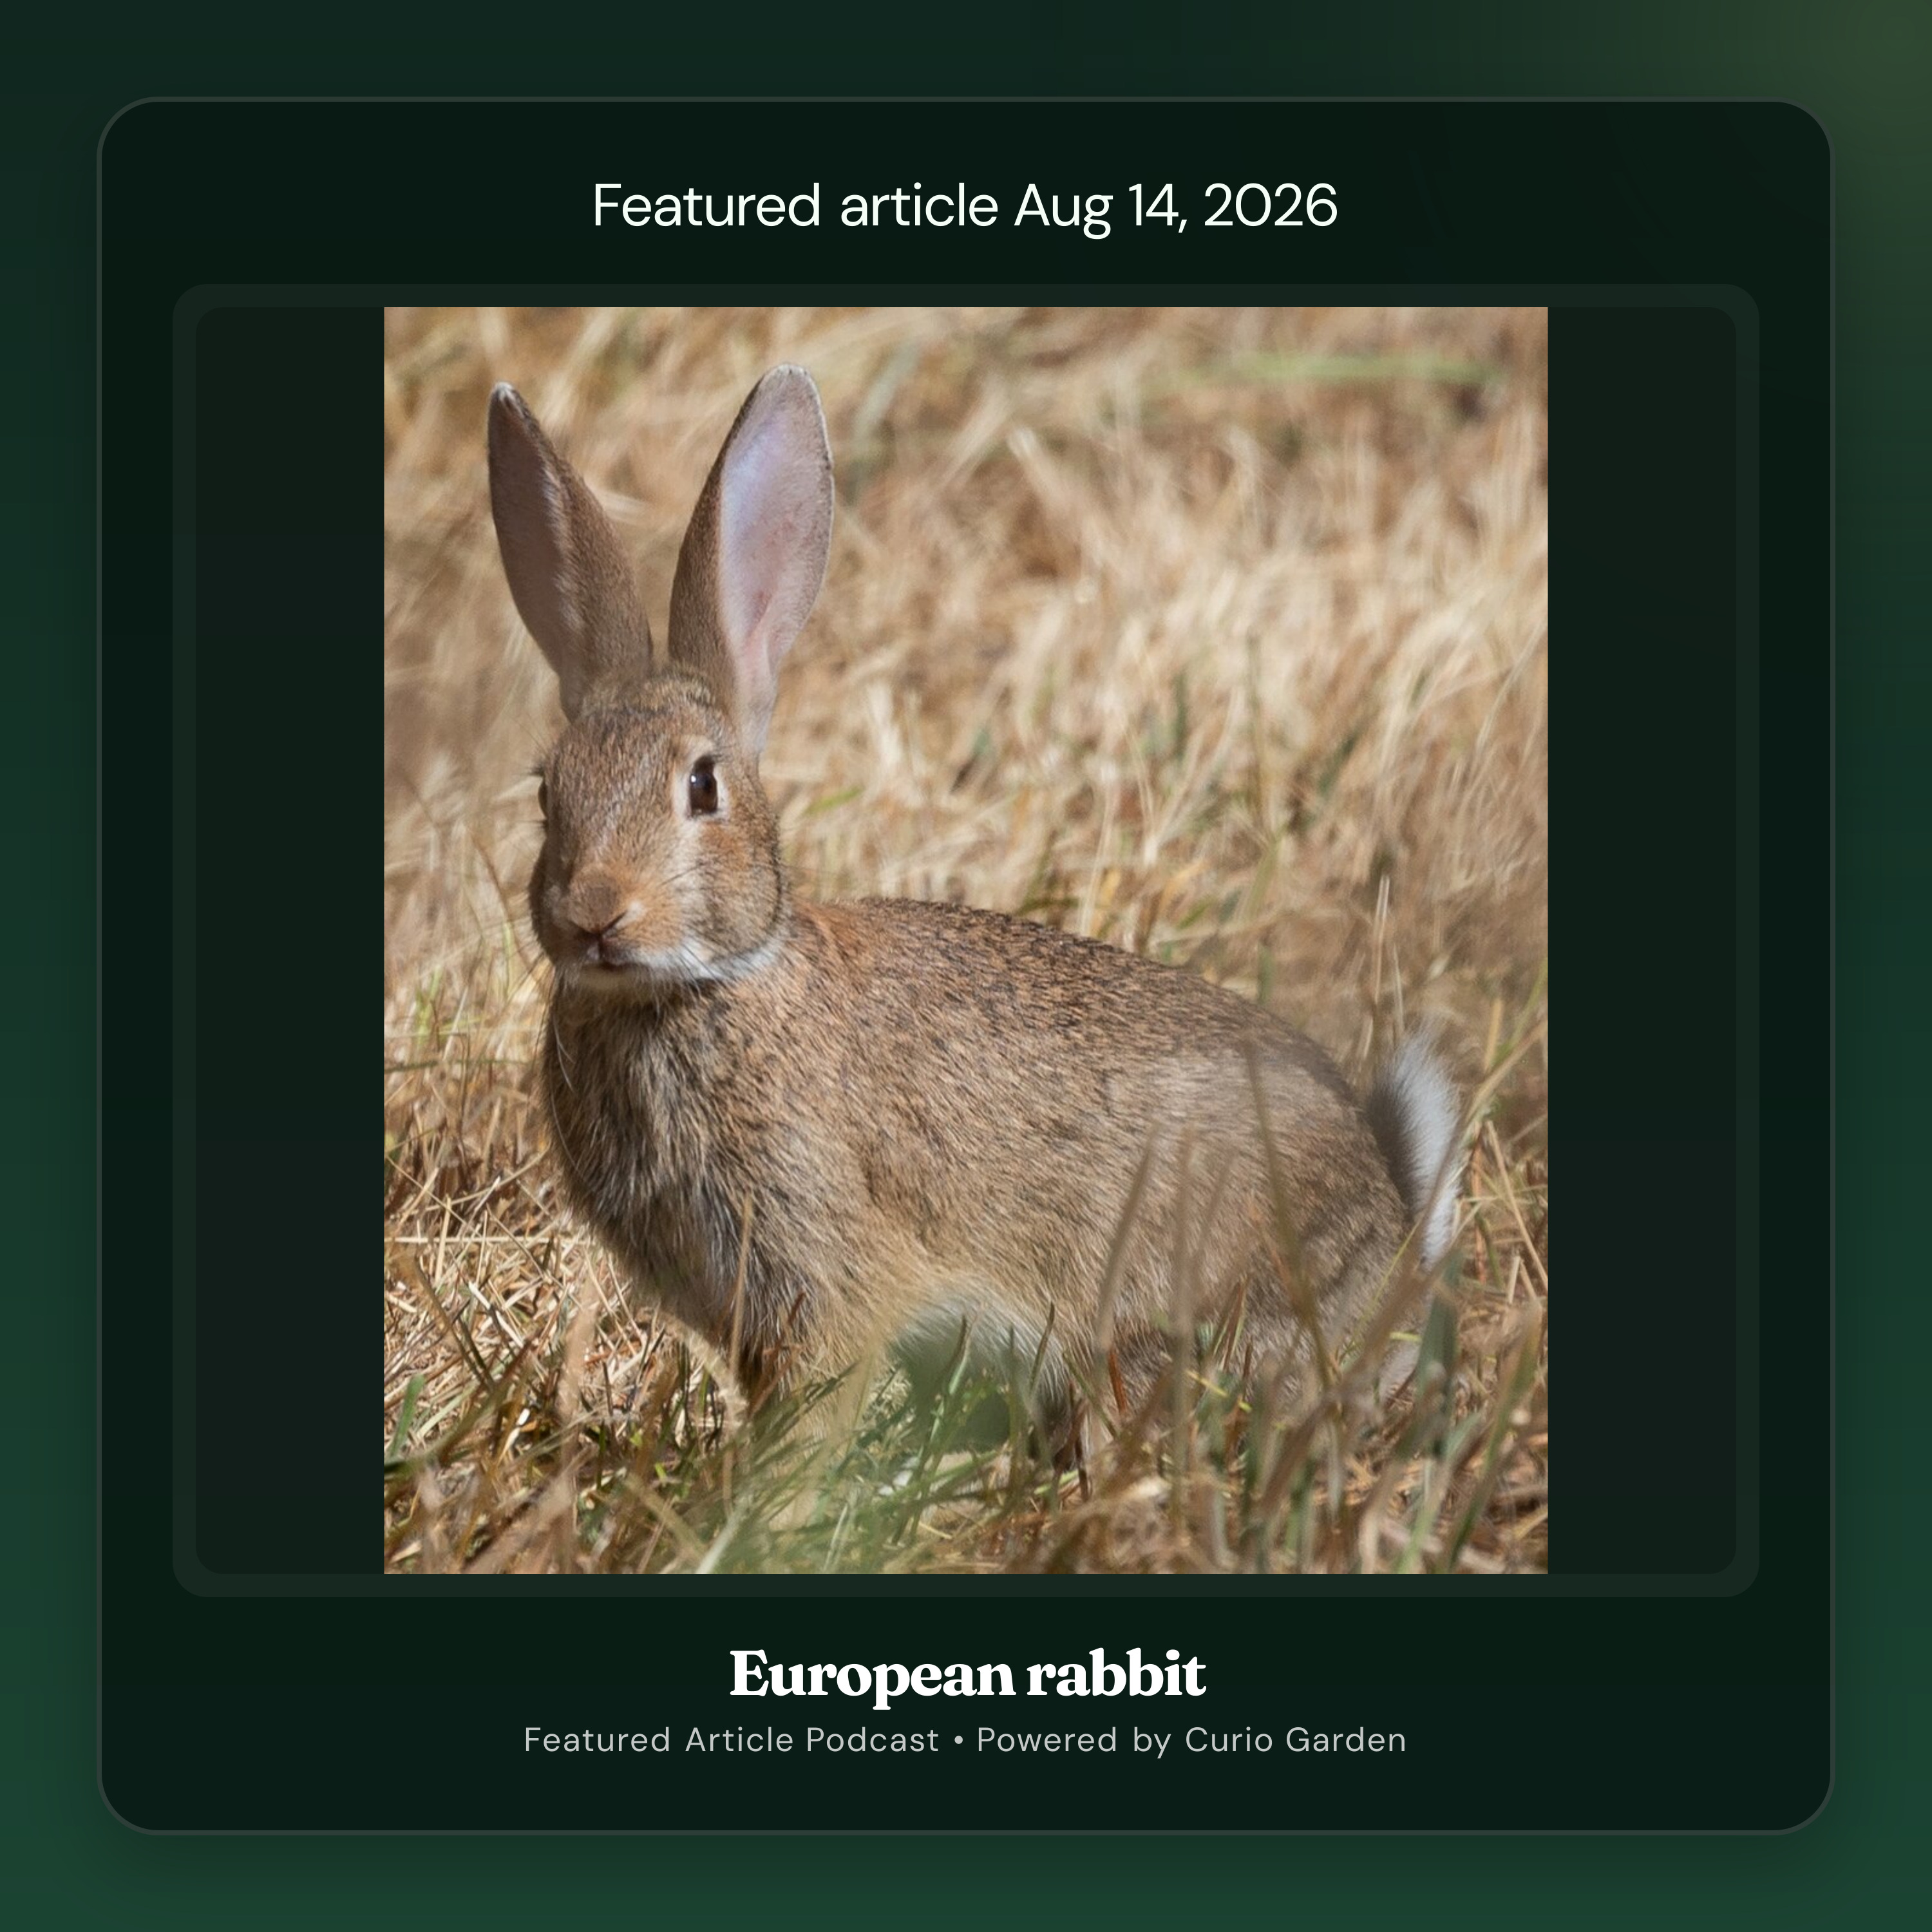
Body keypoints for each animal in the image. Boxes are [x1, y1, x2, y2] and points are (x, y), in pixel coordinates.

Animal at [486, 365, 1463, 1451]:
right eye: (547, 793)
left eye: (703, 787)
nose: (595, 915)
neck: (698, 991)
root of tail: (1396, 1249)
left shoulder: (821, 1277)